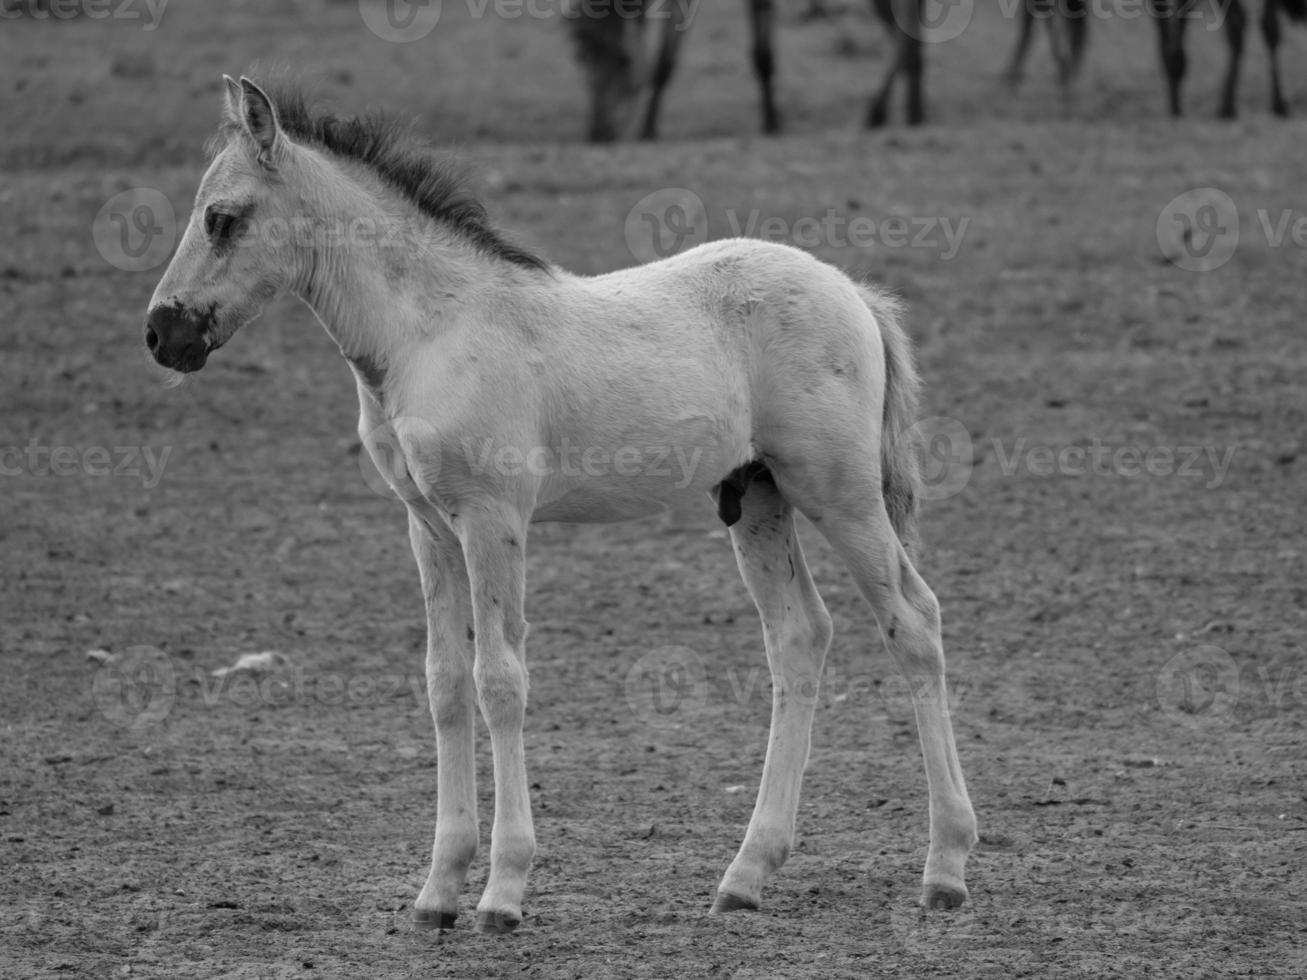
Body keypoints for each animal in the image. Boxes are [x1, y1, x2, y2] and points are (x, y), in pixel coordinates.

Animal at [145, 76, 982, 935]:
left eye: (223, 218)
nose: (160, 332)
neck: (430, 332)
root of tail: (851, 291)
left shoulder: (493, 521)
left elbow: (499, 681)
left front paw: (503, 891)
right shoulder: (428, 528)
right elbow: (445, 684)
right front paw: (438, 890)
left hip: (836, 491)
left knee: (913, 621)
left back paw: (944, 868)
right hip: (757, 498)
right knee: (798, 638)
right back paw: (745, 874)